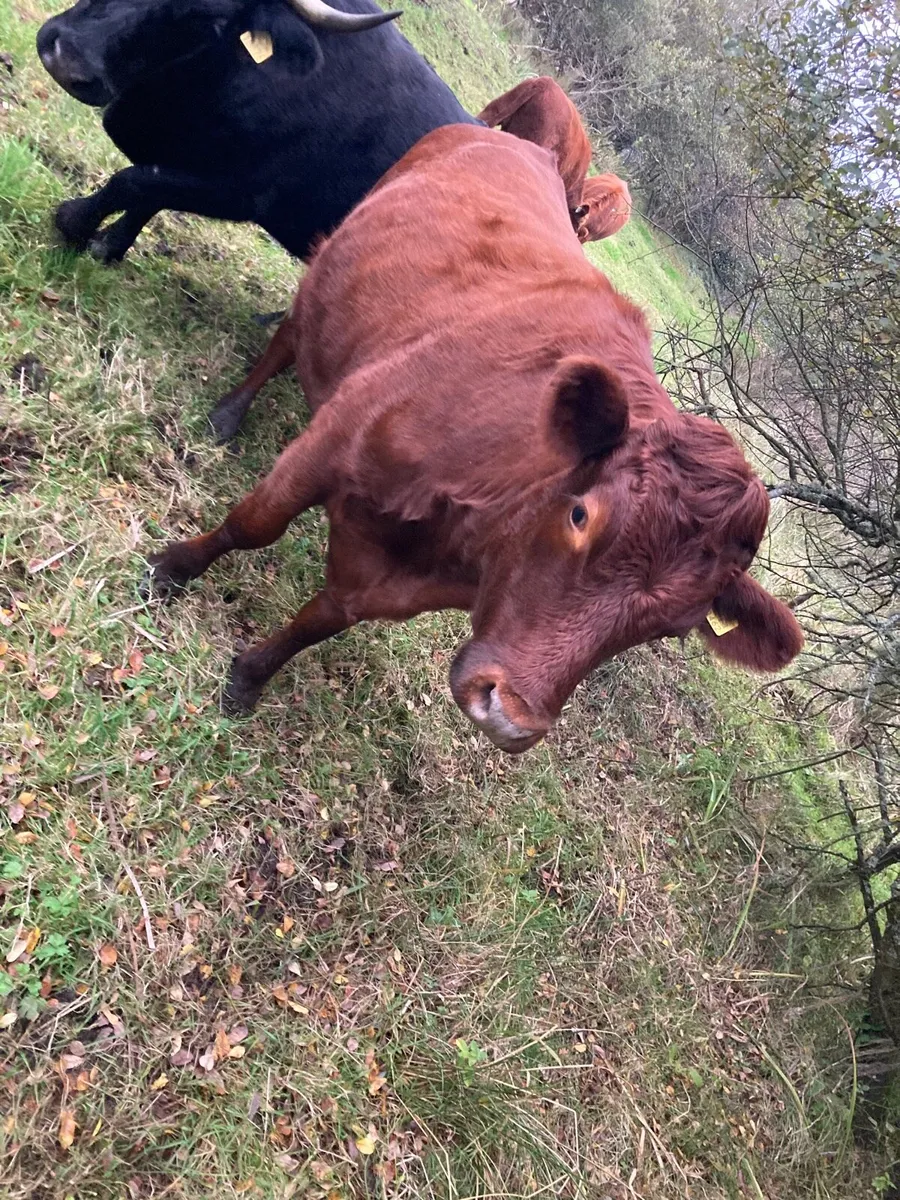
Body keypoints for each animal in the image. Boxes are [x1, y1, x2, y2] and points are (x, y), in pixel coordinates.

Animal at [146, 125, 803, 754]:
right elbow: (254, 524)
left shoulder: (394, 589)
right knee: (289, 335)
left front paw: (250, 677)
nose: (510, 718)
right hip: (329, 267)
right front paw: (172, 570)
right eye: (581, 516)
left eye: (675, 625)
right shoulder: (337, 434)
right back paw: (230, 412)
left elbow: (321, 618)